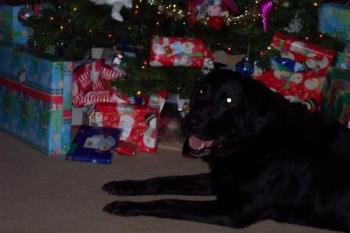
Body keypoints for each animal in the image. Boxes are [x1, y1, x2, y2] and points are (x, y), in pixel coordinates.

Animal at [102, 70, 350, 232]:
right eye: (202, 91)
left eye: (229, 100)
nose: (191, 122)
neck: (255, 140)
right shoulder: (220, 179)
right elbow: (162, 180)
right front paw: (124, 186)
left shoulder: (232, 209)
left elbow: (168, 202)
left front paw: (126, 206)